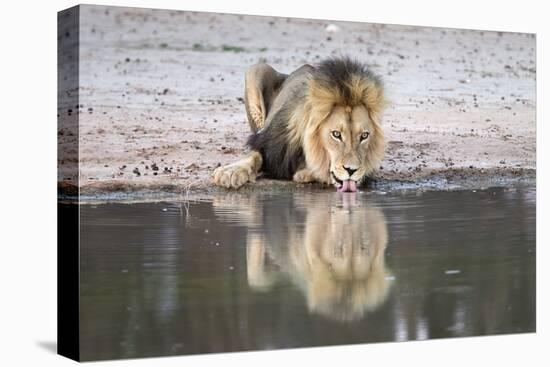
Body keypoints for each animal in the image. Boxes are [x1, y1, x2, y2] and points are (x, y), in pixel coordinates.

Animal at [212, 56, 388, 193]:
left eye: (364, 136)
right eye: (336, 134)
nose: (352, 170)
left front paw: (306, 173)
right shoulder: (269, 145)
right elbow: (253, 155)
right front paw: (231, 172)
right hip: (256, 69)